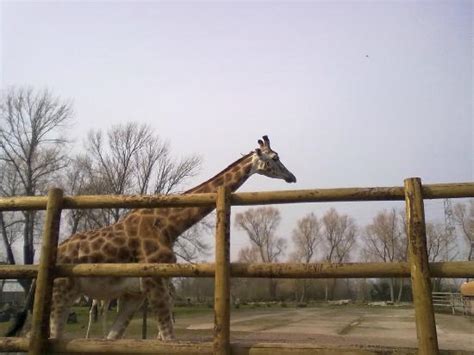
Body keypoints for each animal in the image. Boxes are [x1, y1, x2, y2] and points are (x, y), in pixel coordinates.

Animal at [6, 135, 296, 340]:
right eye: (275, 157)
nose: (291, 176)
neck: (168, 224)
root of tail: (37, 273)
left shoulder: (135, 294)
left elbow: (114, 338)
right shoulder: (155, 283)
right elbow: (168, 337)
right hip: (60, 294)